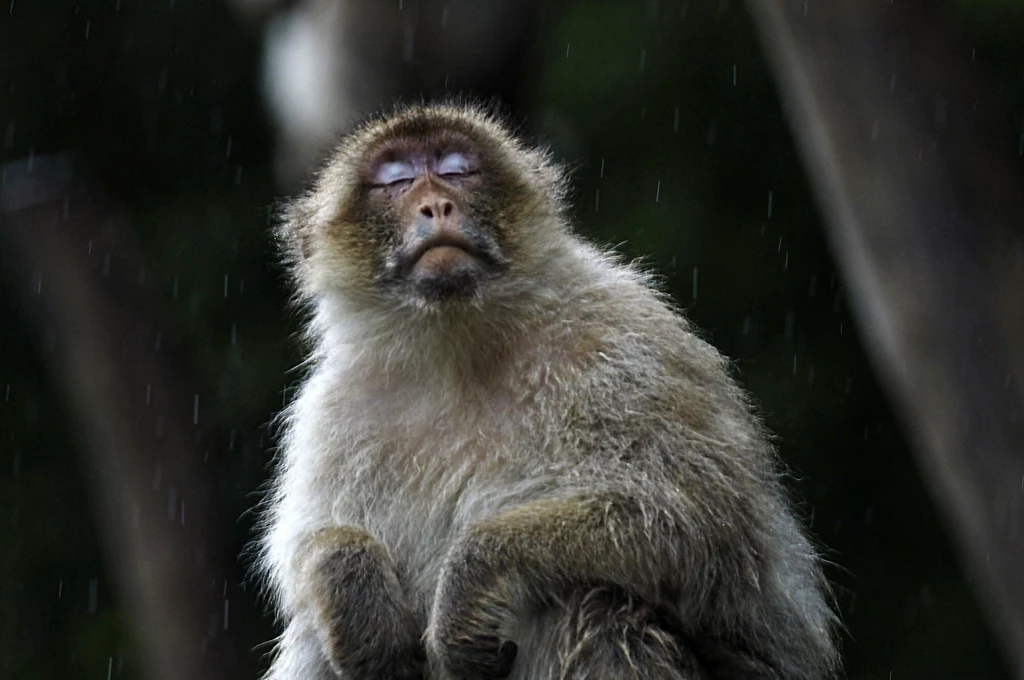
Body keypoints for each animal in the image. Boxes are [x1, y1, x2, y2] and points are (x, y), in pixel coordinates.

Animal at [258, 102, 839, 680]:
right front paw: (347, 574)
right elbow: (305, 555)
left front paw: (475, 570)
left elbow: (698, 527)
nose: (436, 204)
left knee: (597, 602)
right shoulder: (332, 408)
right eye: (395, 181)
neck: (458, 347)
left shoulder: (626, 341)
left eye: (456, 170)